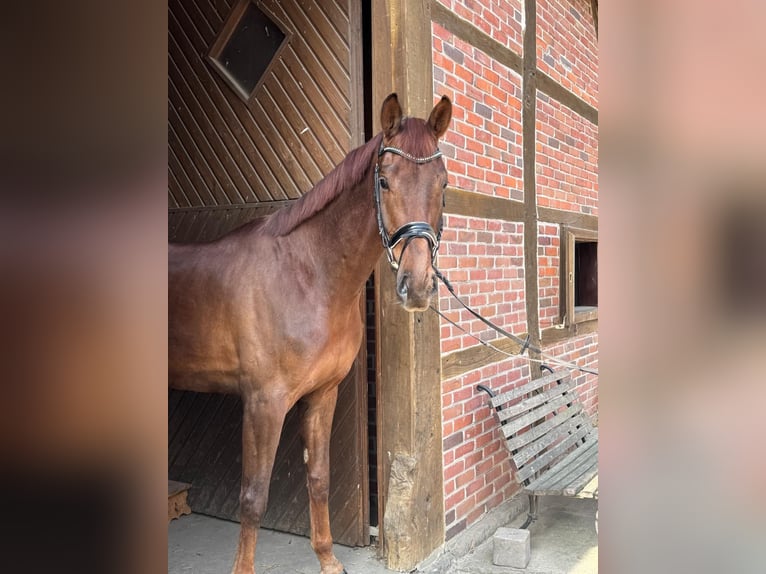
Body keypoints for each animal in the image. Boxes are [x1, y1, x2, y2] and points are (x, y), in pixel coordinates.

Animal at [168, 93, 452, 574]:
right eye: (384, 181)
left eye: (443, 185)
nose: (416, 286)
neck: (307, 275)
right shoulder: (263, 403)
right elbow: (253, 497)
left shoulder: (322, 394)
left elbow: (318, 479)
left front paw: (328, 560)